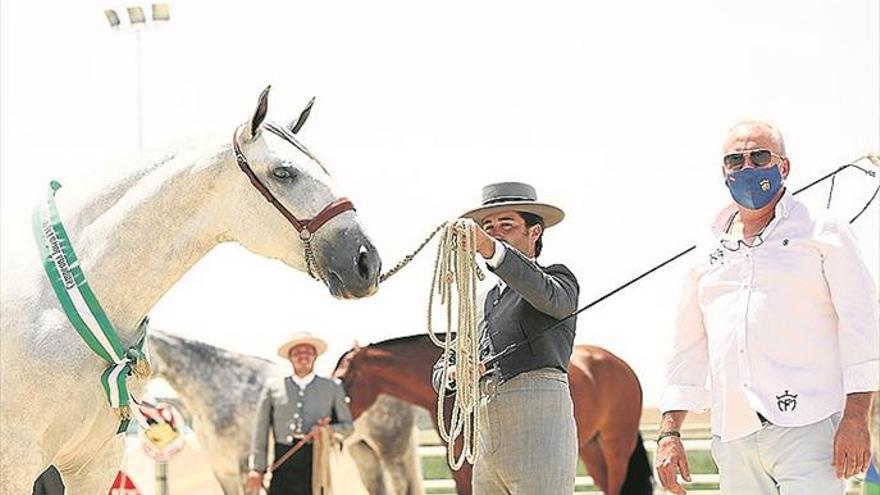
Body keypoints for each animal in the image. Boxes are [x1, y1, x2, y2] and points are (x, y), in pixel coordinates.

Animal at [334, 338, 648, 495]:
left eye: (343, 379)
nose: (335, 427)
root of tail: (621, 366)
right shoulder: (462, 469)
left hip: (616, 448)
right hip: (591, 450)